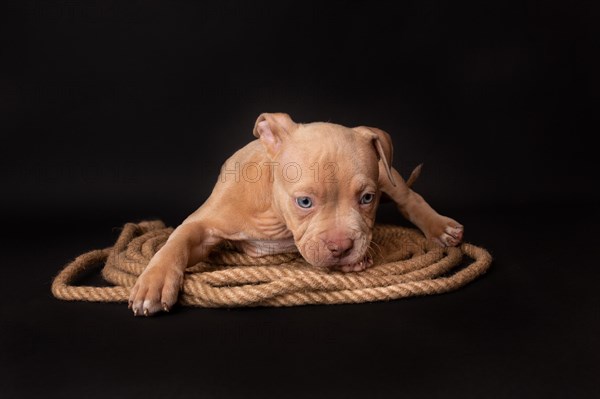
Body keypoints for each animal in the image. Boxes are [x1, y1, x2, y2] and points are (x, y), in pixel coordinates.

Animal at [127, 114, 464, 318]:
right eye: (304, 201)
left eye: (367, 199)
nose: (342, 248)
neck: (276, 219)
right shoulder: (204, 227)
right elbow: (176, 241)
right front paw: (155, 281)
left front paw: (359, 258)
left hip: (386, 172)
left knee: (408, 198)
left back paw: (440, 227)